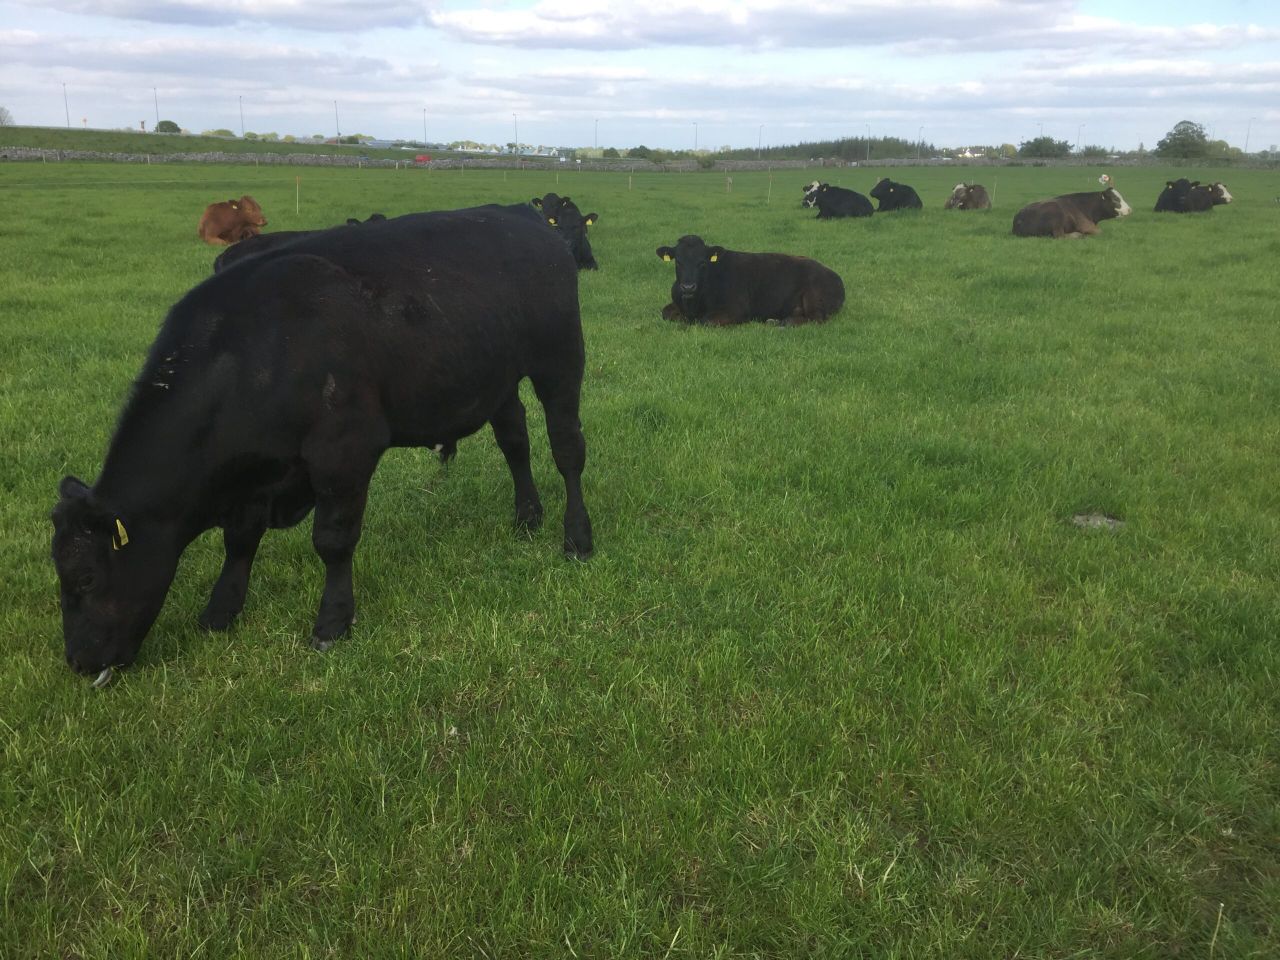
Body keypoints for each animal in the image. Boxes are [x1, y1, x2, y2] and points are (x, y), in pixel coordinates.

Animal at [51, 204, 593, 684]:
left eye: (85, 578)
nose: (77, 660)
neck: (256, 351)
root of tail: (523, 217)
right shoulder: (255, 472)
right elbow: (240, 538)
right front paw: (221, 610)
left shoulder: (344, 450)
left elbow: (332, 541)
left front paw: (332, 622)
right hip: (497, 378)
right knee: (515, 441)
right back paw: (527, 516)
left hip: (560, 361)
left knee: (567, 450)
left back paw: (577, 538)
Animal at [655, 234, 845, 326]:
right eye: (678, 261)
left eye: (702, 262)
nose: (688, 287)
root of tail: (834, 275)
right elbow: (666, 312)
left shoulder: (736, 310)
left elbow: (705, 321)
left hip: (814, 296)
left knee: (817, 318)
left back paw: (785, 322)